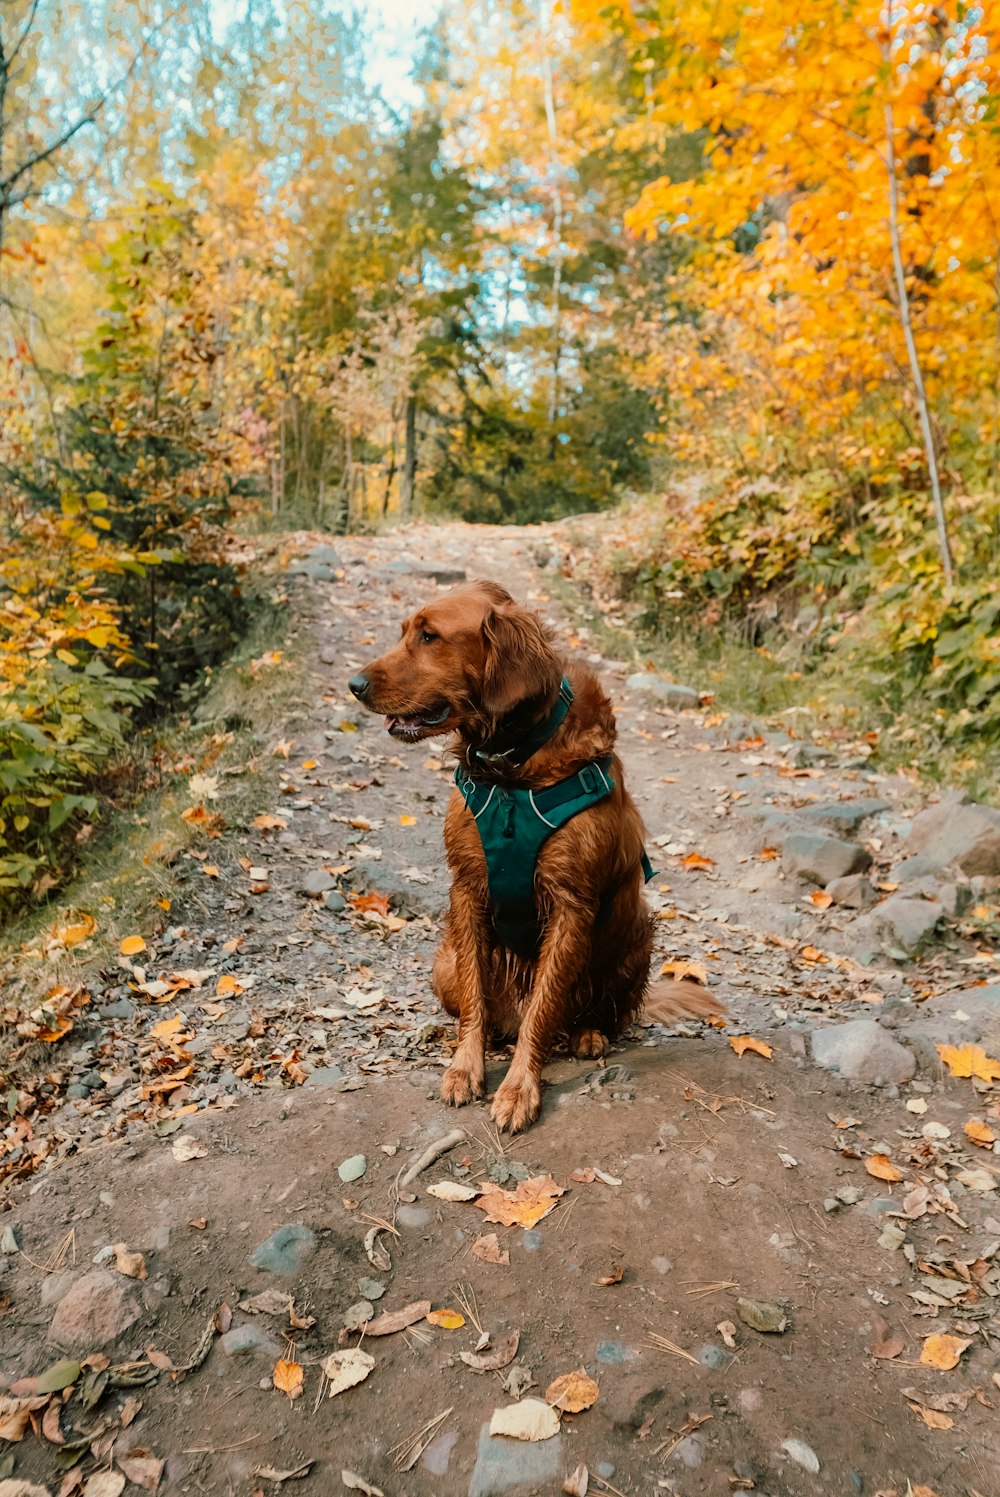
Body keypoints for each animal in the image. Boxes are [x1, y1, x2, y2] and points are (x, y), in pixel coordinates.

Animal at [350, 577, 718, 1125]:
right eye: (404, 632)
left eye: (430, 637)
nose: (354, 684)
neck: (513, 768)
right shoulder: (467, 888)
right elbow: (475, 999)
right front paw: (465, 1067)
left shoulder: (570, 903)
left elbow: (542, 1011)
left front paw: (519, 1088)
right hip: (443, 962)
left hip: (636, 936)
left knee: (595, 1014)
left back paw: (588, 1035)